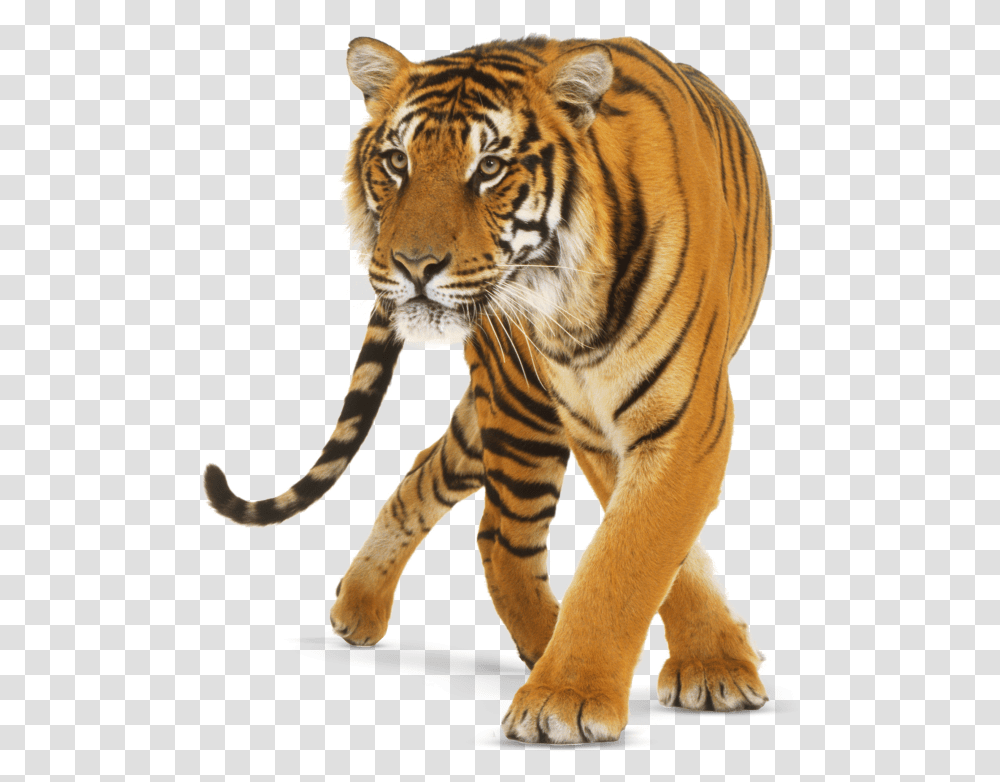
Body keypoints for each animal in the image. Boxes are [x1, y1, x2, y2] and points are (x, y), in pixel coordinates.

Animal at [204, 35, 773, 743]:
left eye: (492, 167)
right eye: (397, 161)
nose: (412, 265)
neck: (570, 300)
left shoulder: (684, 420)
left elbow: (635, 552)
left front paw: (702, 668)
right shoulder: (591, 425)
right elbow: (639, 555)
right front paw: (571, 694)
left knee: (426, 475)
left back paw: (359, 606)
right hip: (520, 405)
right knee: (500, 538)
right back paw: (537, 646)